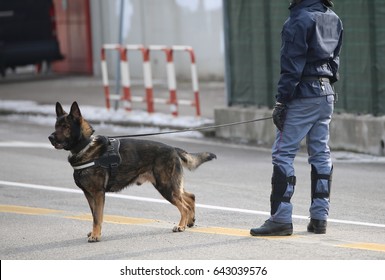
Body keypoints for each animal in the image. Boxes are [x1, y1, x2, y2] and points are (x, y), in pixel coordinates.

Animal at [48, 101, 216, 242]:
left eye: (66, 127)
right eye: (56, 126)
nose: (50, 137)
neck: (85, 145)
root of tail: (173, 149)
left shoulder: (97, 193)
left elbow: (97, 216)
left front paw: (96, 235)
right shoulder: (89, 194)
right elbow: (94, 214)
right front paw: (95, 233)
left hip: (165, 187)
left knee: (184, 206)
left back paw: (181, 225)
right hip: (169, 185)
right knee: (190, 197)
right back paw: (190, 221)